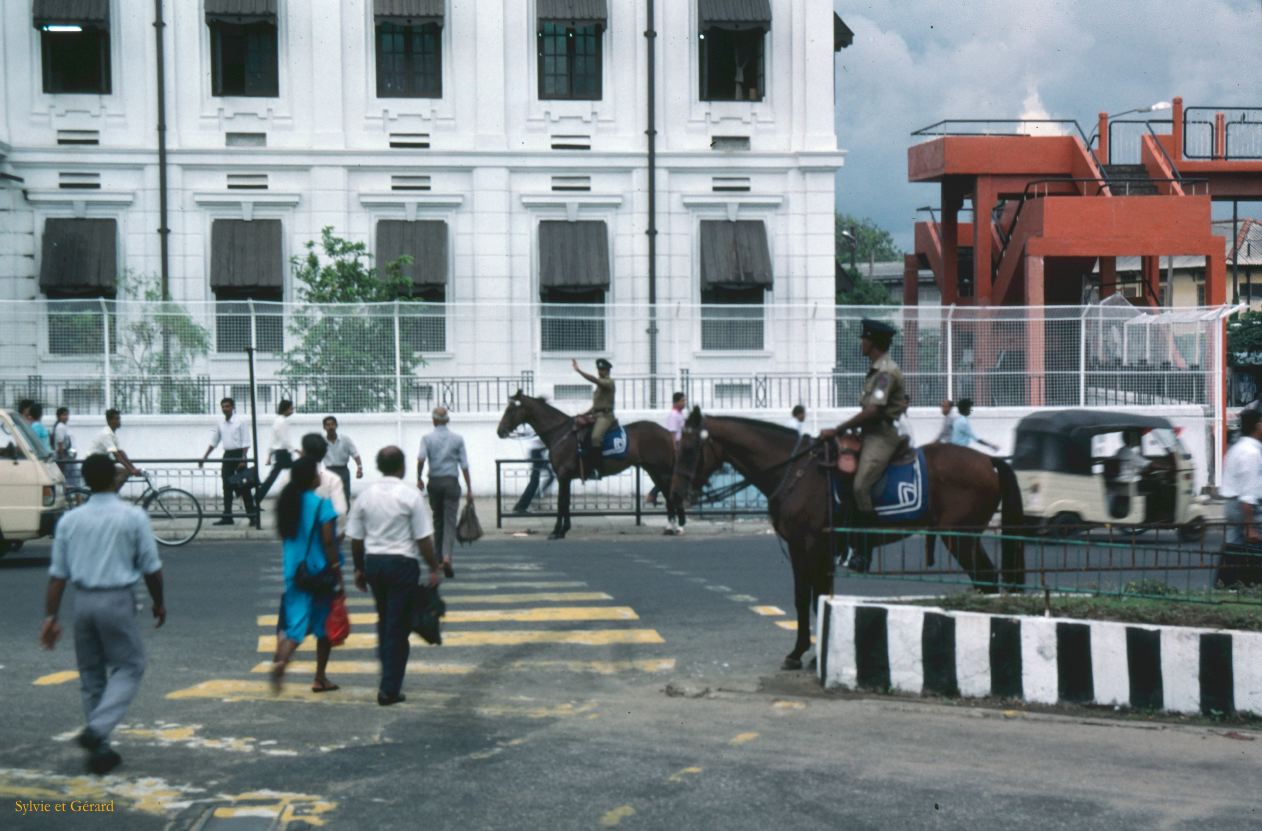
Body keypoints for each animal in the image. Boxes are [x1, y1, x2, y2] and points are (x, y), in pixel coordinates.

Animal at [497, 388, 686, 538]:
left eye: (510, 410)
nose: (500, 431)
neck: (561, 433)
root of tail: (667, 433)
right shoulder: (565, 477)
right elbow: (566, 502)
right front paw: (564, 529)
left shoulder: (563, 476)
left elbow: (561, 503)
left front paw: (556, 531)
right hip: (654, 470)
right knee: (667, 494)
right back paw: (671, 527)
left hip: (661, 471)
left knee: (670, 494)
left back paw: (676, 526)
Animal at [671, 404, 1024, 671]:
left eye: (688, 448)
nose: (675, 495)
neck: (797, 471)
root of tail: (987, 461)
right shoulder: (804, 549)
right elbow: (806, 597)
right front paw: (802, 652)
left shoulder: (812, 546)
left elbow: (814, 596)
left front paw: (812, 654)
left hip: (961, 538)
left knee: (986, 580)